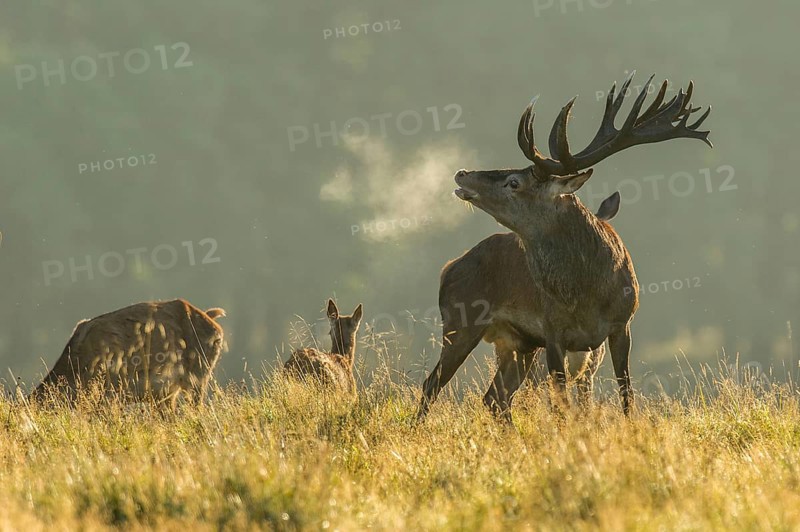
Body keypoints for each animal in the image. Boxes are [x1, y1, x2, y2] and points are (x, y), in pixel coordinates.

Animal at [417, 72, 712, 418]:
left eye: (514, 182)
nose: (462, 173)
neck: (586, 293)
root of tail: (449, 268)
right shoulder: (552, 331)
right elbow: (561, 403)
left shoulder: (622, 324)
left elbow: (626, 394)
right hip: (460, 320)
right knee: (432, 386)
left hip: (518, 341)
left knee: (494, 398)